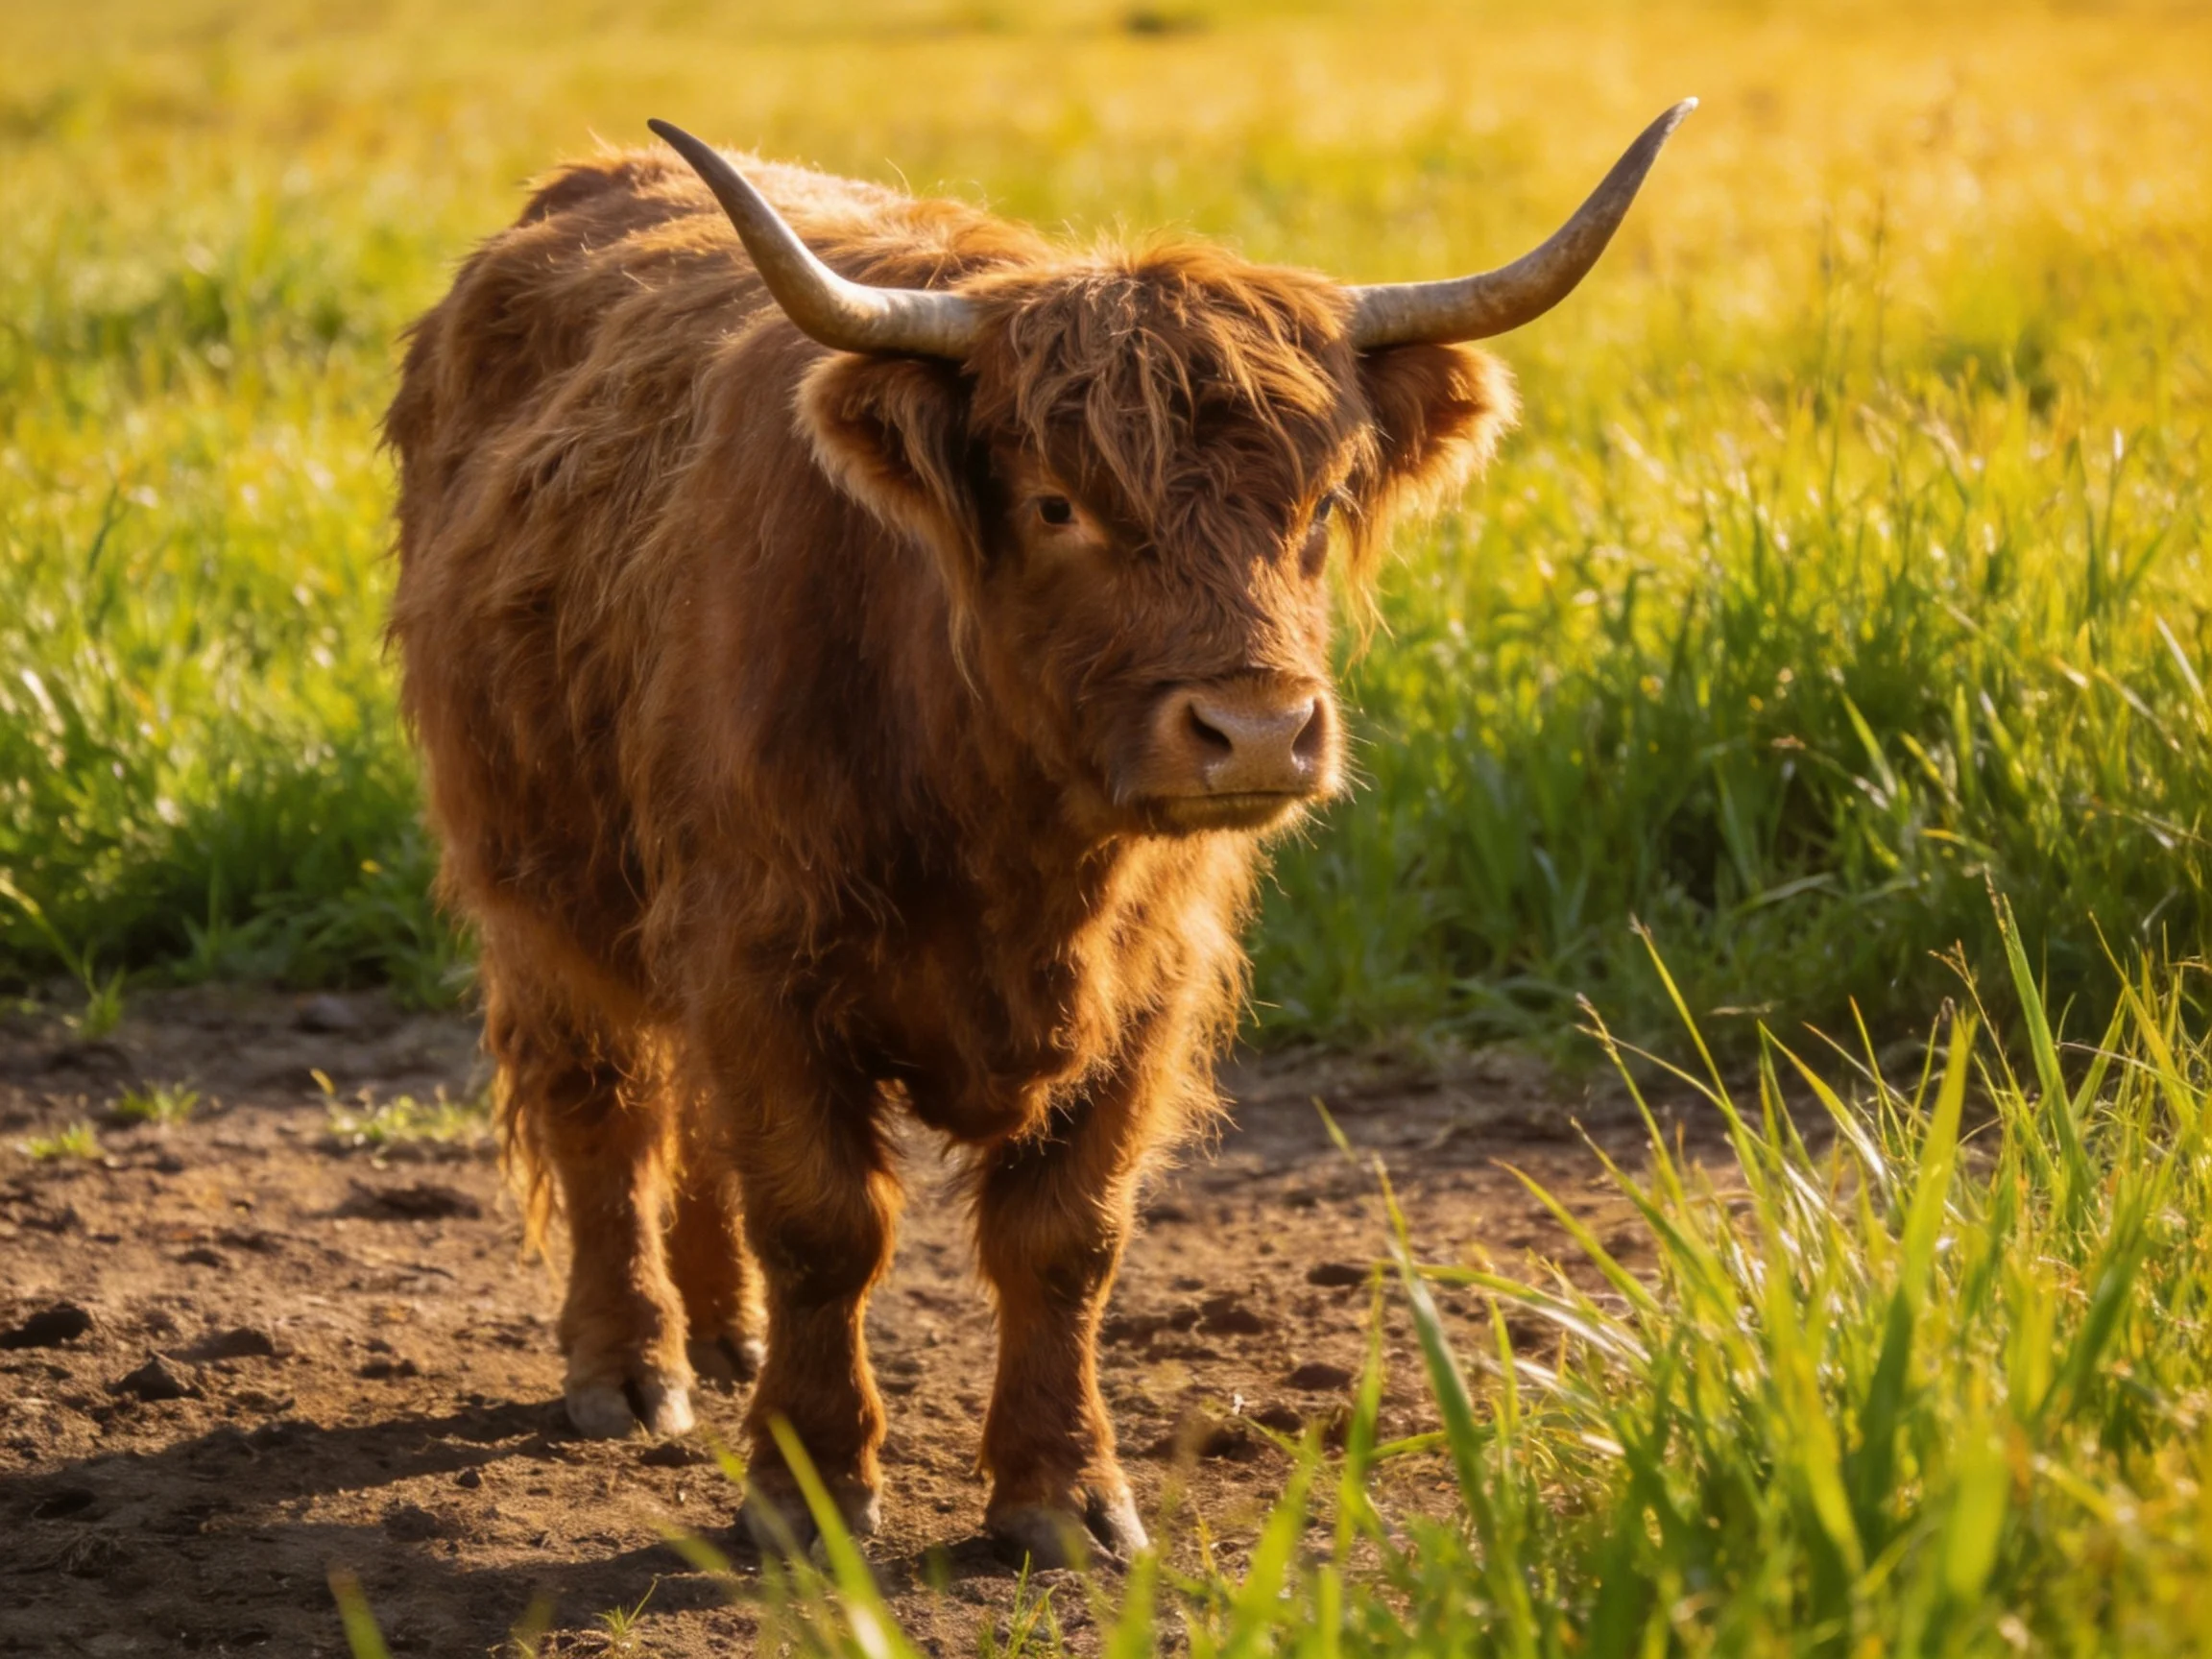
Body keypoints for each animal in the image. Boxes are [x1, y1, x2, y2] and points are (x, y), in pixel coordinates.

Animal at [384, 99, 1691, 1567]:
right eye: (1059, 503)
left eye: (1318, 505)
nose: (1255, 730)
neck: (1009, 834)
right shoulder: (756, 954)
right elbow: (823, 1225)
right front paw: (806, 1490)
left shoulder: (1149, 986)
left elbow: (1066, 1237)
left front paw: (1060, 1495)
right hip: (527, 884)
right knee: (604, 1107)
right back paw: (632, 1364)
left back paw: (728, 1337)